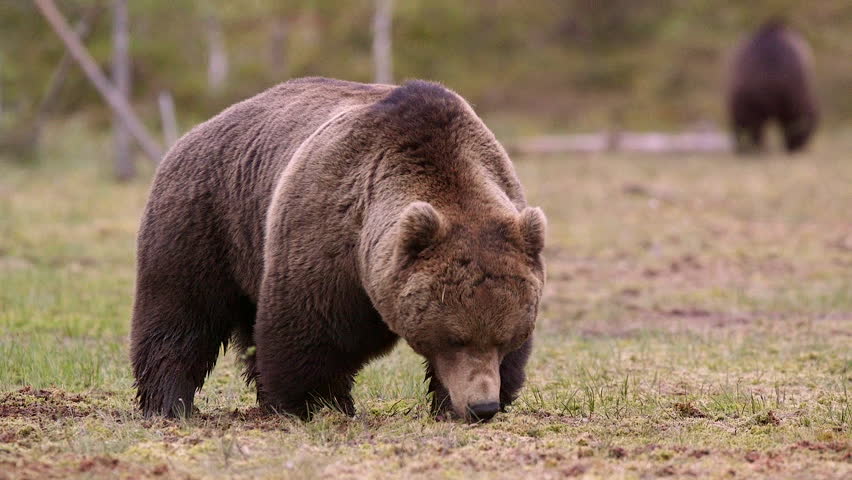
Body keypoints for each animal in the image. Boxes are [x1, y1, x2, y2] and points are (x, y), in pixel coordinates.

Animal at [130, 77, 546, 423]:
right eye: (455, 337)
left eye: (506, 337)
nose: (482, 406)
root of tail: (195, 131)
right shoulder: (329, 229)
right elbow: (313, 332)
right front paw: (319, 403)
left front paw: (452, 402)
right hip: (206, 217)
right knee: (181, 312)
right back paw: (169, 403)